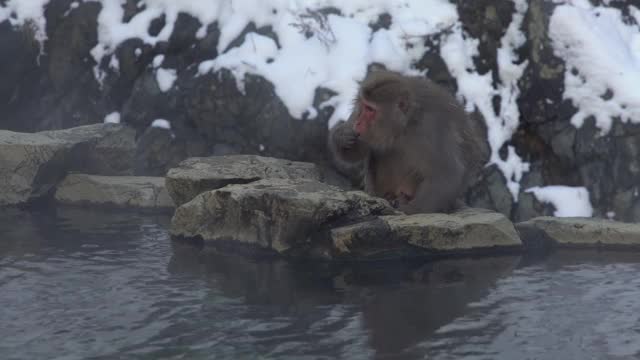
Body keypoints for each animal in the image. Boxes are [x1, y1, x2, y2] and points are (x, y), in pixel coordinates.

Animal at [330, 69, 484, 214]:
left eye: (370, 109)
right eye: (363, 106)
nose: (358, 123)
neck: (406, 123)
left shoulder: (432, 129)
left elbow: (447, 173)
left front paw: (410, 210)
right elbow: (359, 151)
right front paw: (342, 136)